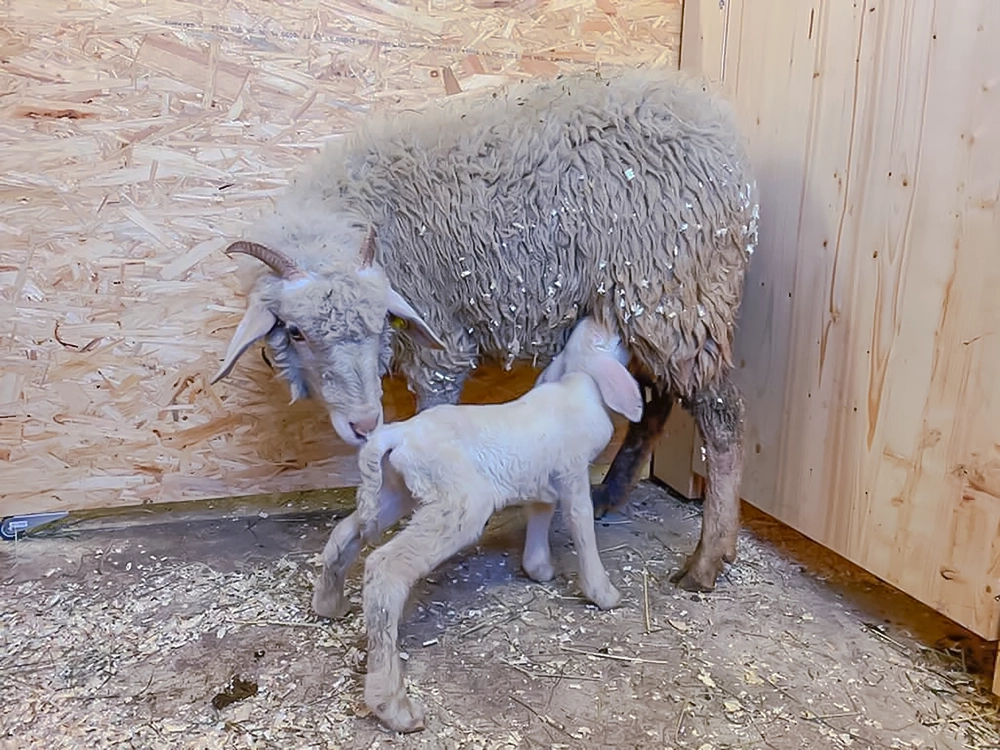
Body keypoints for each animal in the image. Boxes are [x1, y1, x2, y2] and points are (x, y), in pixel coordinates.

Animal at [211, 67, 756, 592]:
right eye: (296, 332)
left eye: (381, 322)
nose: (365, 424)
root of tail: (717, 125)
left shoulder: (441, 343)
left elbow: (434, 410)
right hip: (646, 306)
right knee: (654, 401)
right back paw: (613, 494)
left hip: (678, 294)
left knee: (722, 415)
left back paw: (708, 558)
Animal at [308, 318, 644, 736]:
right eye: (605, 337)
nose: (604, 320)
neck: (578, 382)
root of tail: (394, 435)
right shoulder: (573, 472)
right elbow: (582, 526)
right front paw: (604, 594)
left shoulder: (542, 478)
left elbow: (540, 513)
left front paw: (539, 569)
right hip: (460, 502)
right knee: (385, 570)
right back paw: (395, 707)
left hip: (394, 492)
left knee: (345, 533)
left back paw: (329, 604)